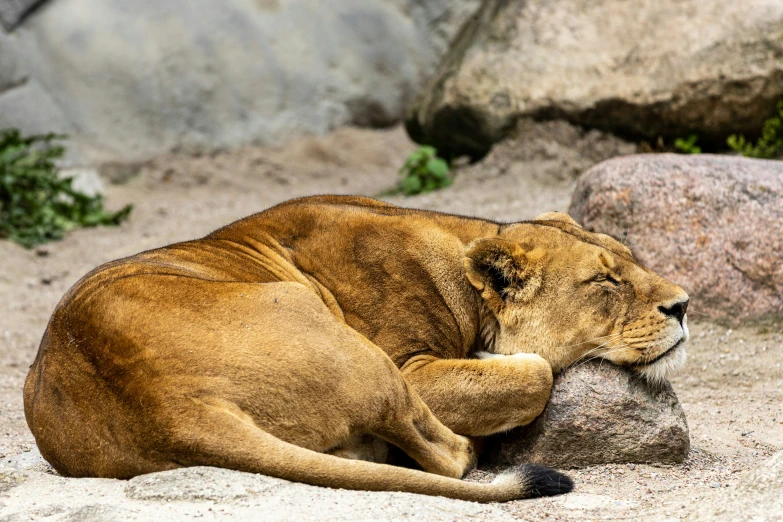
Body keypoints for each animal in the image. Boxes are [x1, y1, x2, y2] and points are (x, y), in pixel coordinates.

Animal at [23, 195, 688, 500]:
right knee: (450, 457)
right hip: (330, 329)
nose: (683, 305)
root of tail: (168, 408)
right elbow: (535, 375)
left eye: (630, 259)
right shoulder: (411, 366)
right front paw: (503, 360)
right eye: (604, 281)